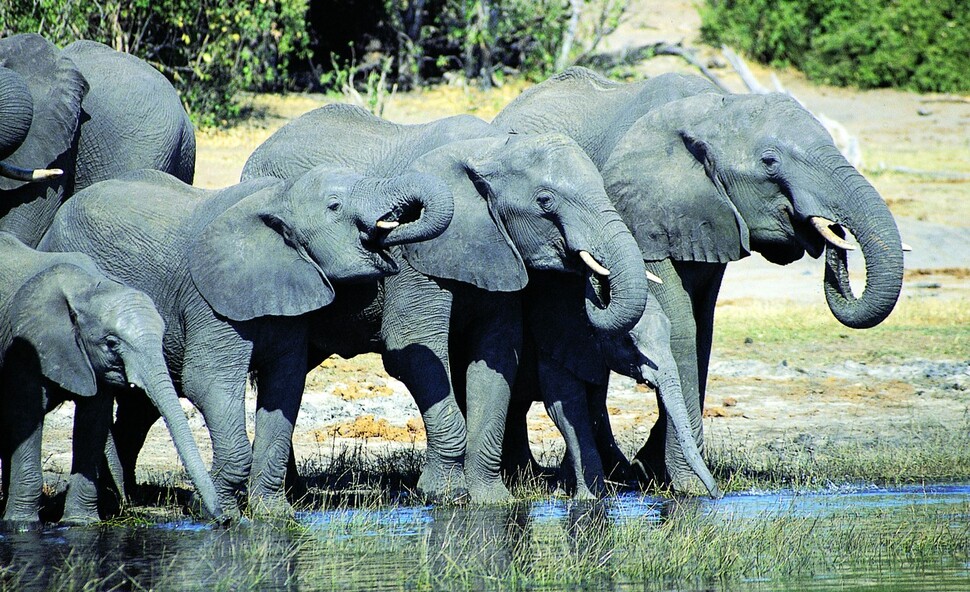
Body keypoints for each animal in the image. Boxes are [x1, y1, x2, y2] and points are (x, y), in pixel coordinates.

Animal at [0, 231, 221, 524]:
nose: (223, 518)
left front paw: (80, 523)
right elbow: (26, 414)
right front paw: (20, 524)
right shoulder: (25, 347)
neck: (88, 288)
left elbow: (93, 422)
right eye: (112, 343)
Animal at [34, 165, 450, 512]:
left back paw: (126, 499)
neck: (279, 196)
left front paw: (273, 515)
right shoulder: (208, 302)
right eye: (334, 205)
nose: (394, 230)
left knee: (139, 407)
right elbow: (208, 382)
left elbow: (284, 387)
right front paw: (214, 511)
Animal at [242, 104, 652, 502]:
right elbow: (411, 347)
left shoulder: (495, 249)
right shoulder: (415, 258)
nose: (592, 285)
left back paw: (294, 493)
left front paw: (492, 500)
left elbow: (496, 355)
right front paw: (446, 495)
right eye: (545, 200)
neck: (492, 149)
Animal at [492, 66, 908, 490]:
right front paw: (687, 486)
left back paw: (614, 472)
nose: (831, 232)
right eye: (770, 162)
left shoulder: (710, 215)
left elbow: (703, 327)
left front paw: (656, 471)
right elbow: (680, 325)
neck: (715, 111)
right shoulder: (638, 210)